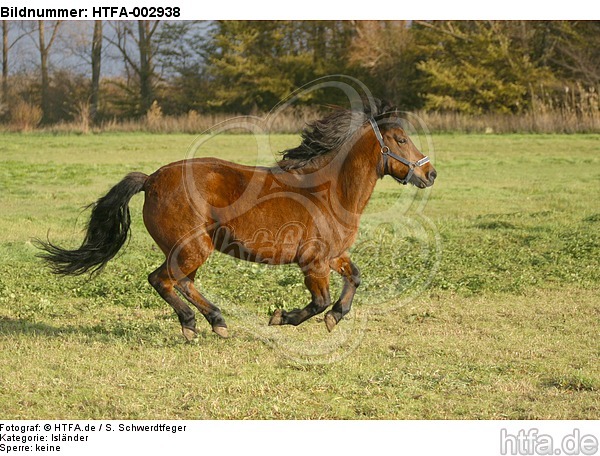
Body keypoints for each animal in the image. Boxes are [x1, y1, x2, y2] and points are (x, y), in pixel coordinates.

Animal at [36, 100, 436, 342]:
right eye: (400, 139)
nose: (430, 173)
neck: (327, 191)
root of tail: (151, 179)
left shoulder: (334, 256)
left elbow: (354, 278)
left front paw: (336, 317)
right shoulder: (313, 262)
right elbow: (319, 301)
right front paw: (282, 317)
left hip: (190, 249)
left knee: (179, 281)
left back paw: (211, 322)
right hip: (193, 247)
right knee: (164, 280)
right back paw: (199, 325)